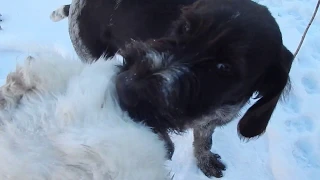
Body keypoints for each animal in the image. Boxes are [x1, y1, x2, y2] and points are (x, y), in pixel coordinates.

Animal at [115, 0, 296, 177]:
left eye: (224, 67)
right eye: (185, 27)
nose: (125, 86)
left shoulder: (212, 118)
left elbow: (205, 138)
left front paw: (204, 159)